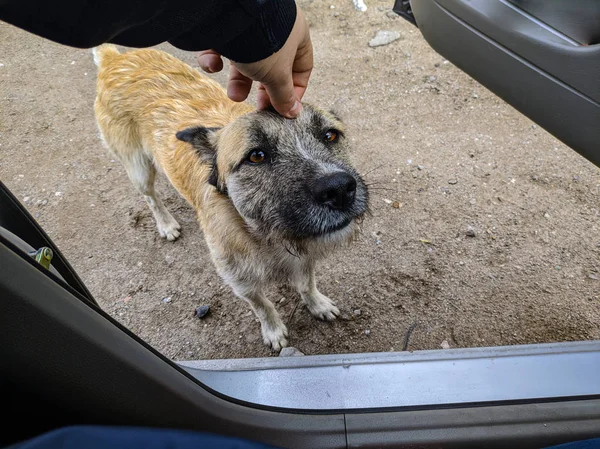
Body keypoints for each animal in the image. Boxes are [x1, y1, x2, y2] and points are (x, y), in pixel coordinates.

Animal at [92, 44, 368, 350]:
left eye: (330, 135)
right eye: (256, 156)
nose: (339, 189)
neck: (269, 239)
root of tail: (116, 58)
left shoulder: (305, 258)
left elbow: (307, 283)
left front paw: (317, 304)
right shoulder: (241, 283)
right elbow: (262, 306)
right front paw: (273, 331)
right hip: (138, 168)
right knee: (151, 196)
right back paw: (166, 224)